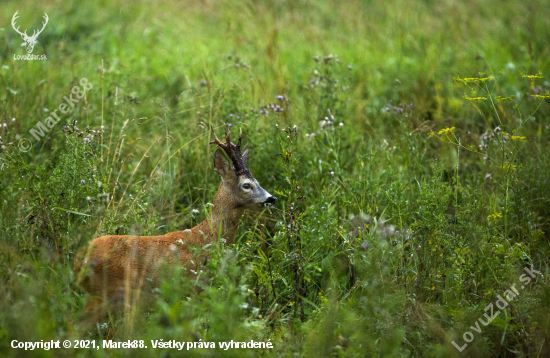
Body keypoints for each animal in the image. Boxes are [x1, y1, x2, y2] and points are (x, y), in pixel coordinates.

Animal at [75, 126, 278, 322]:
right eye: (247, 185)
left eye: (257, 181)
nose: (272, 198)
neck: (207, 237)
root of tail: (79, 260)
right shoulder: (197, 285)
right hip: (105, 292)